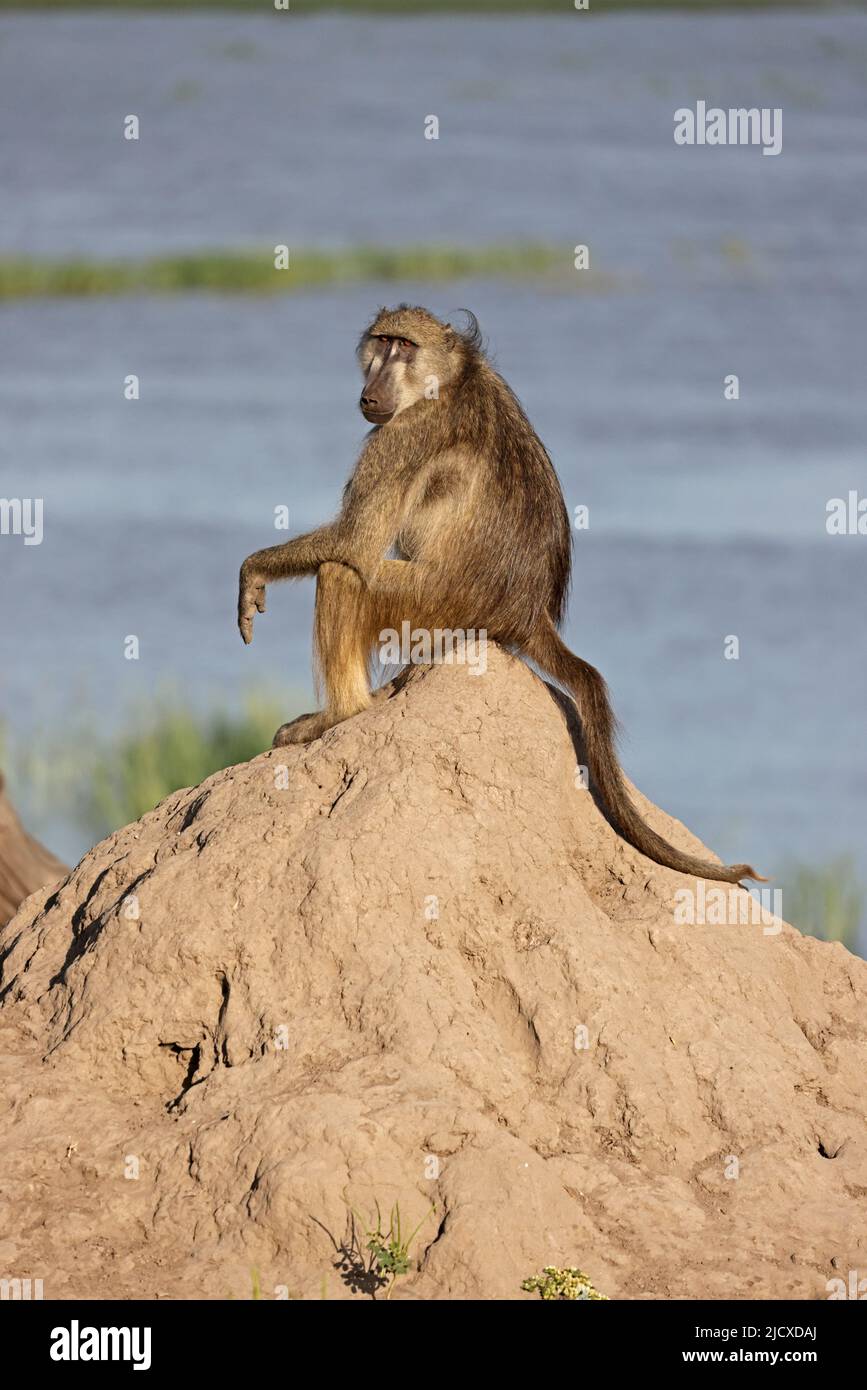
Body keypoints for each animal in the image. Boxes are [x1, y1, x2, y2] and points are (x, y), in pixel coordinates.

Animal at [238, 305, 761, 884]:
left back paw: (340, 714)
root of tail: (527, 614)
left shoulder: (405, 433)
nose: (372, 392)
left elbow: (354, 541)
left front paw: (252, 570)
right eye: (382, 342)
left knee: (341, 572)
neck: (452, 377)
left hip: (431, 605)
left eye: (405, 346)